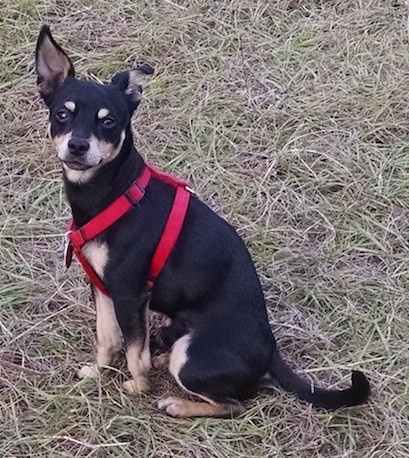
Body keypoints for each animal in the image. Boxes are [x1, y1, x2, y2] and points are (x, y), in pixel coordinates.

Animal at [35, 26, 370, 418]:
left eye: (108, 122)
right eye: (62, 114)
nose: (77, 145)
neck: (115, 192)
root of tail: (270, 349)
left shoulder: (130, 293)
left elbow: (134, 351)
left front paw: (137, 386)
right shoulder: (103, 288)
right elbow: (108, 337)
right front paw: (97, 372)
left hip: (189, 355)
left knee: (233, 405)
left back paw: (178, 403)